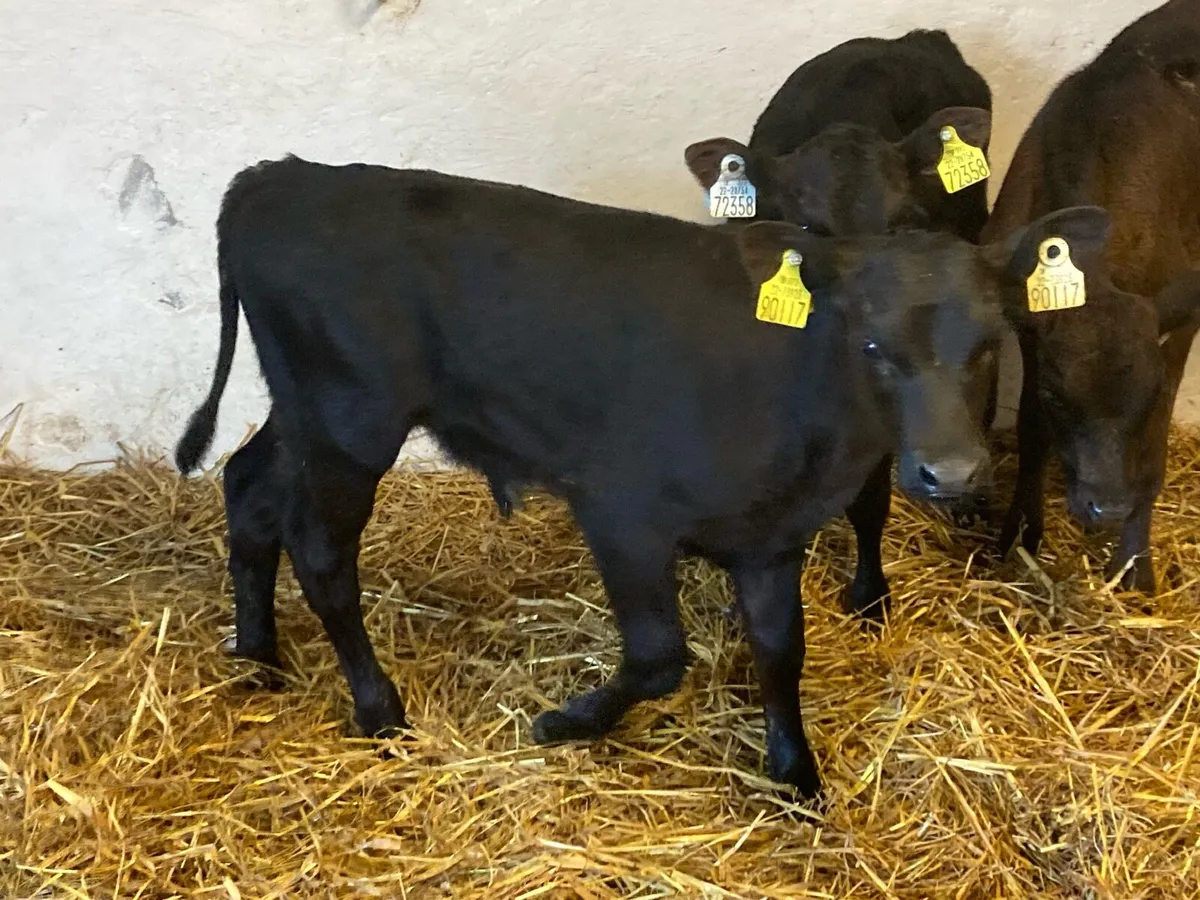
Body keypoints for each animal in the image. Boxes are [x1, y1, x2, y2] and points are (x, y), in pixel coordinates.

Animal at [174, 154, 1101, 798]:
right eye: (872, 345)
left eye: (989, 341)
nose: (952, 471)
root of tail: (281, 175)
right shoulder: (622, 512)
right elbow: (660, 657)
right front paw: (567, 720)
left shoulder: (771, 537)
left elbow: (780, 649)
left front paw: (794, 771)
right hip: (350, 424)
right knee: (322, 553)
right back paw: (377, 709)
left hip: (305, 414)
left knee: (249, 489)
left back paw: (259, 656)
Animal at [981, 0, 1200, 593]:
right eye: (1059, 396)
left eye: (1147, 395)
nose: (1108, 507)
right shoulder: (1032, 330)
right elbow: (1031, 429)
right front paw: (1020, 535)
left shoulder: (1179, 324)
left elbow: (1154, 448)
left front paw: (1135, 562)